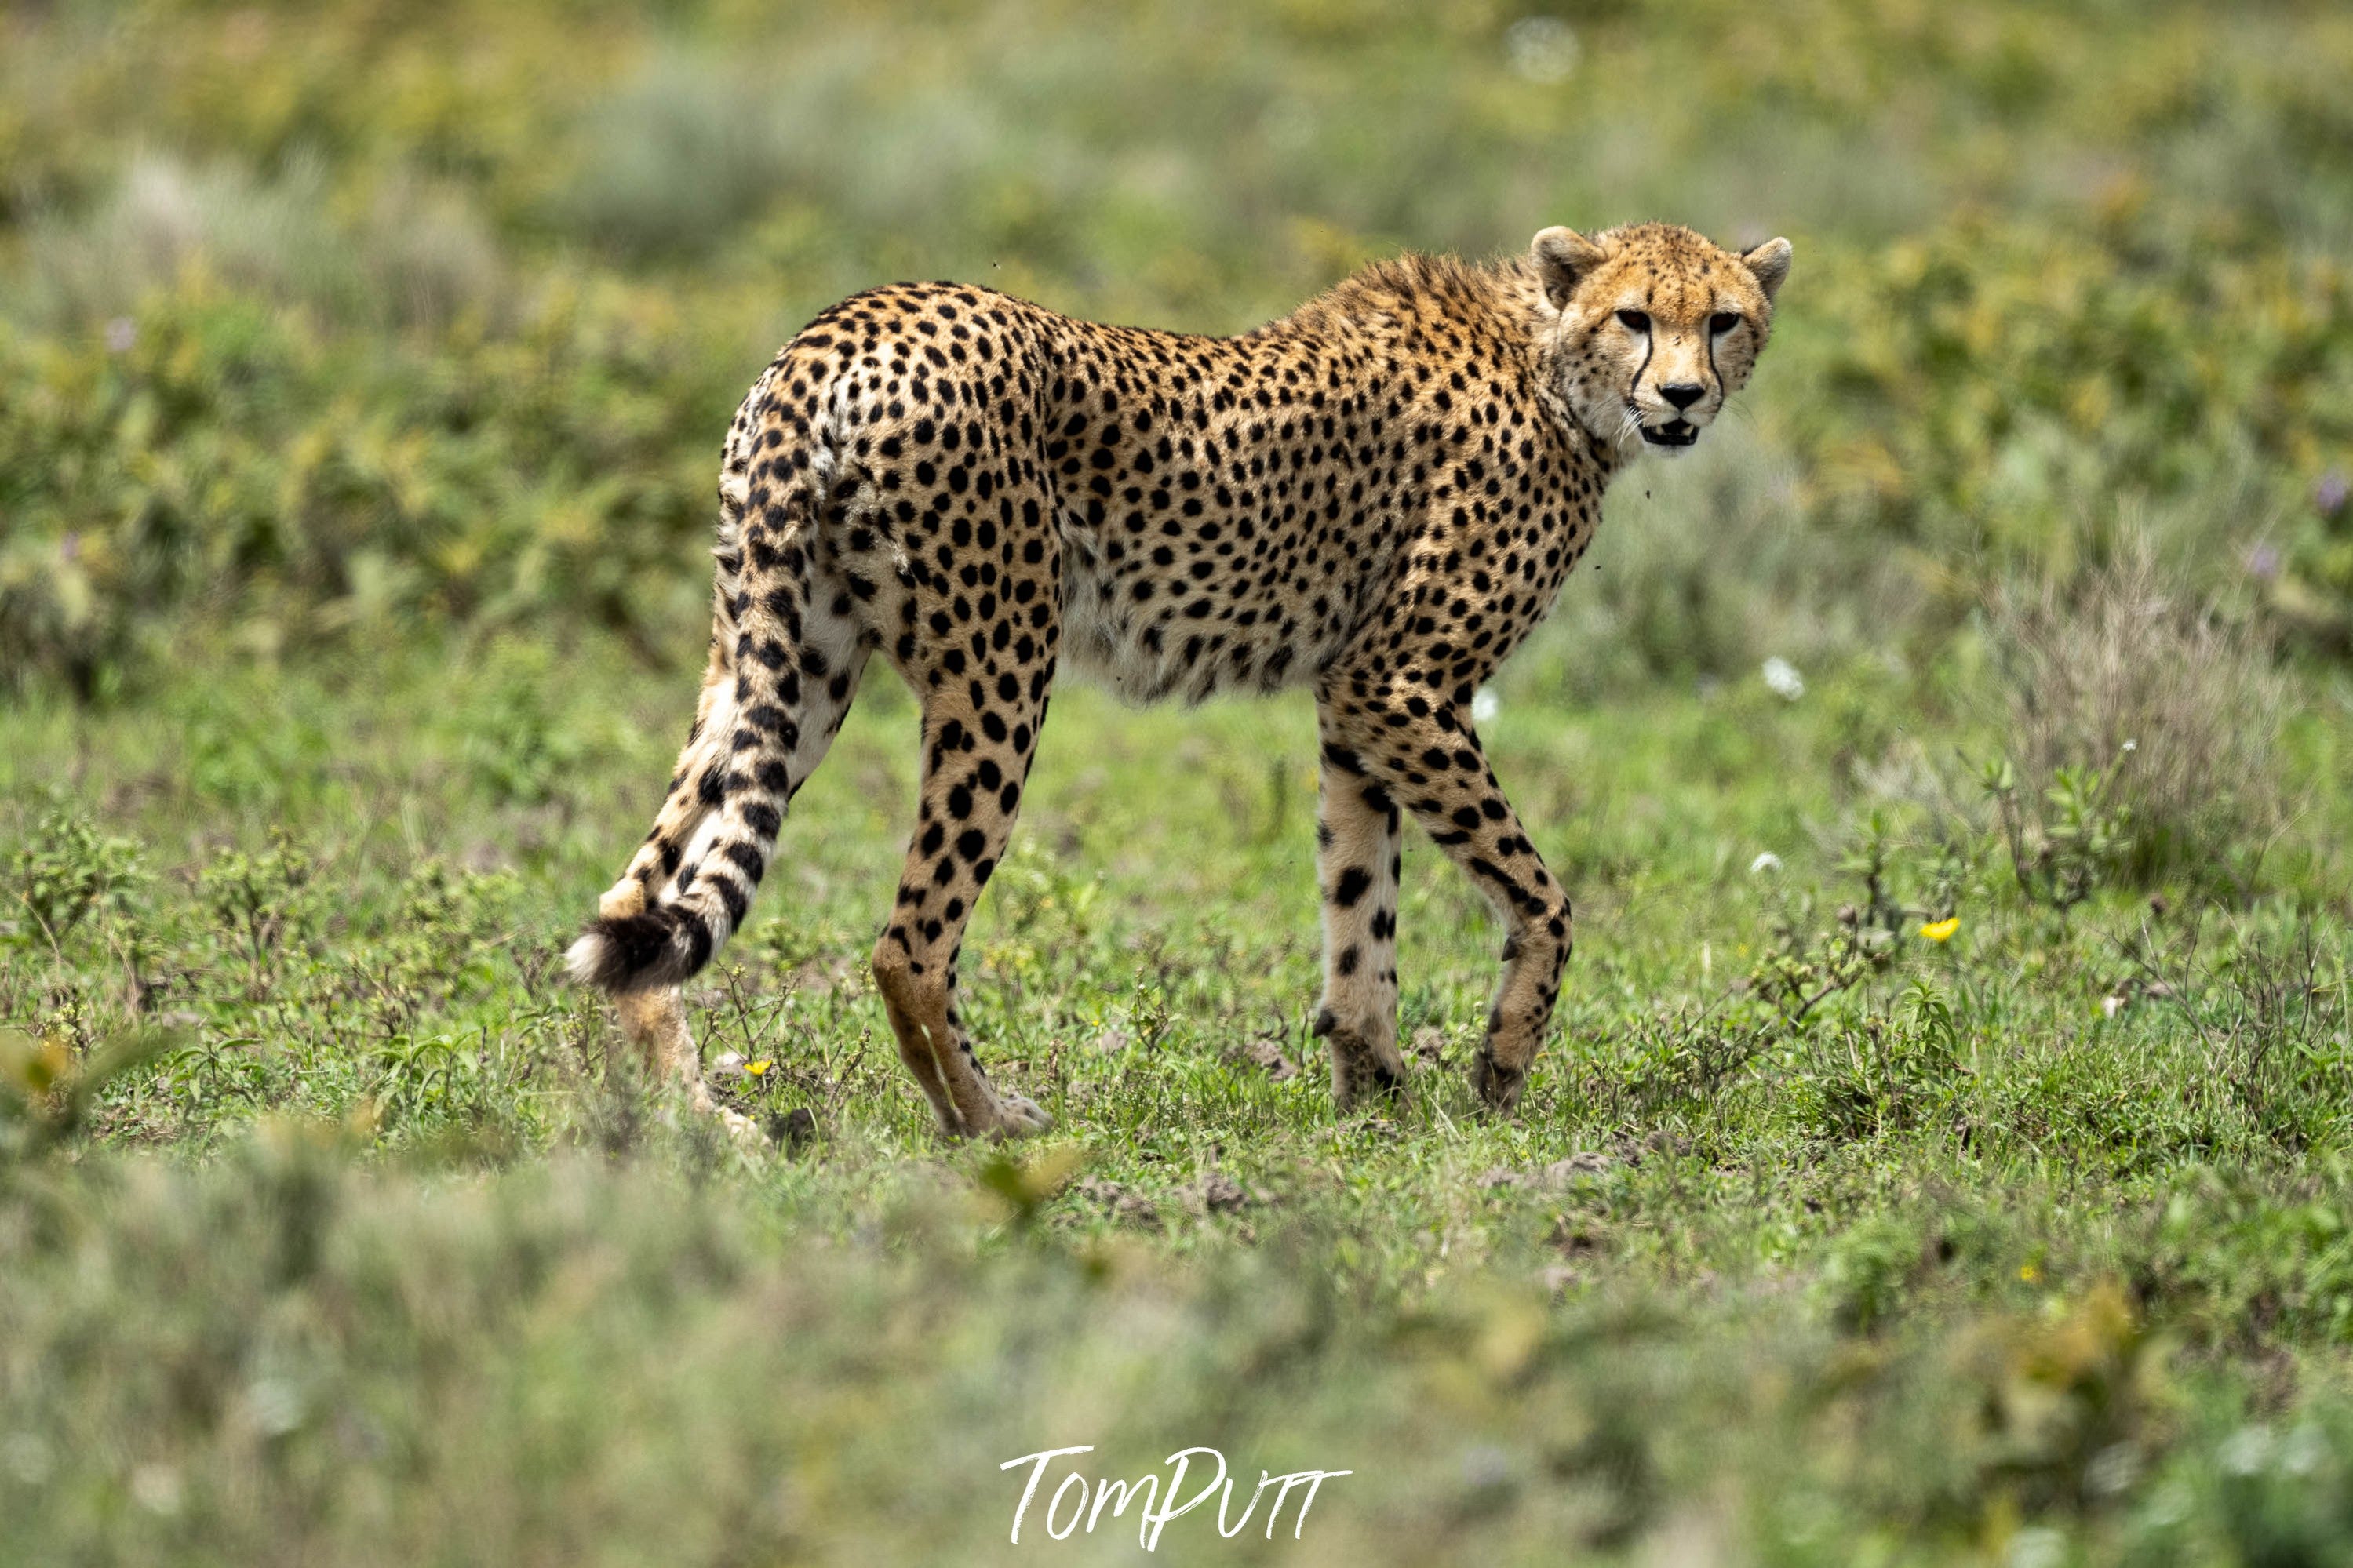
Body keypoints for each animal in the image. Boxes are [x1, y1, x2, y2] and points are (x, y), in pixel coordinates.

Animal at [566, 220, 1792, 1139]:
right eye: (1634, 317)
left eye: (1721, 320)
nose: (1682, 397)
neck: (1547, 364)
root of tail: (847, 321)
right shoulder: (1400, 682)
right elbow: (1540, 895)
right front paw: (1498, 1064)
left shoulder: (1355, 702)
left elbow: (1359, 892)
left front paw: (1371, 1089)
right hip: (998, 667)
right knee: (907, 943)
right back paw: (986, 1121)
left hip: (784, 663)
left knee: (642, 896)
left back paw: (702, 1119)